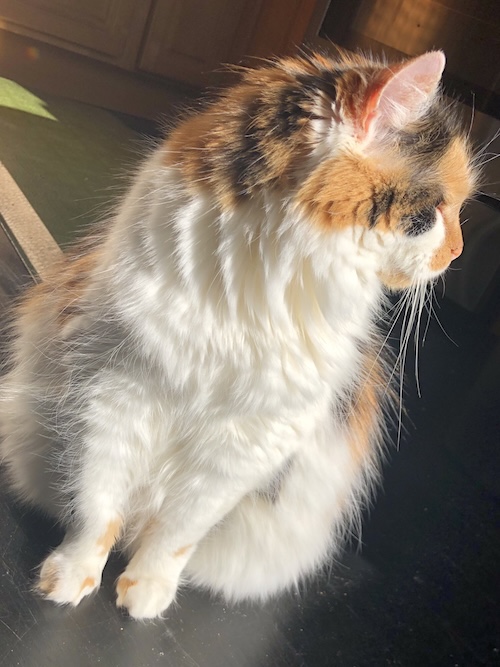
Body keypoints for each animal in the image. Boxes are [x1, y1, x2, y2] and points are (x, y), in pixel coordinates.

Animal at [0, 51, 476, 620]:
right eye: (435, 211)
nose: (458, 254)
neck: (264, 276)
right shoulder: (112, 393)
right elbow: (96, 509)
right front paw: (71, 578)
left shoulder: (250, 442)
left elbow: (176, 532)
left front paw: (144, 593)